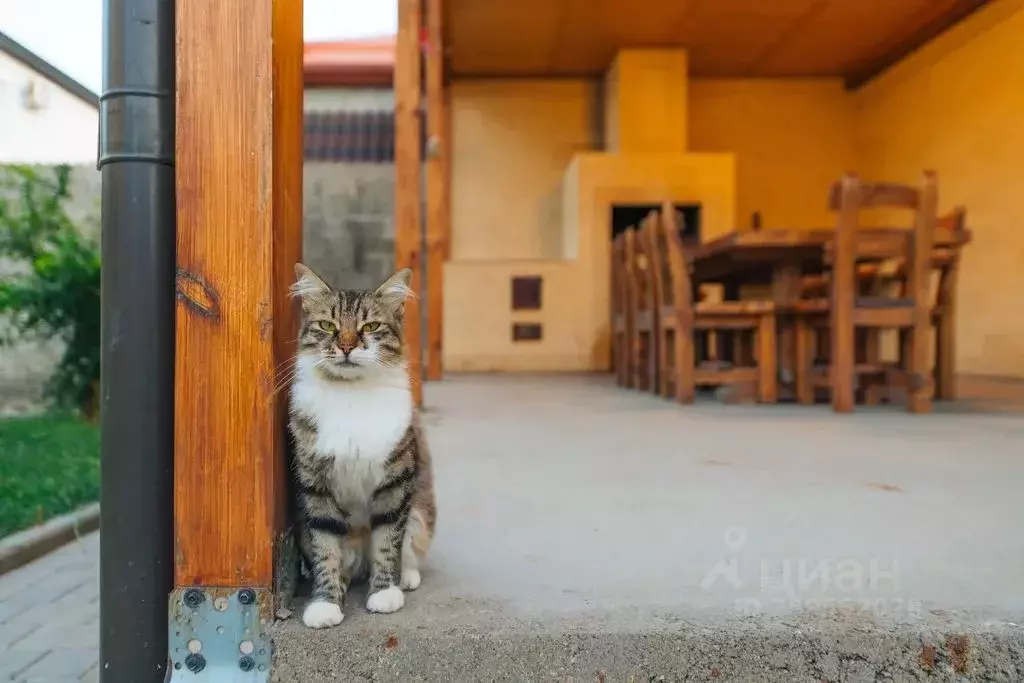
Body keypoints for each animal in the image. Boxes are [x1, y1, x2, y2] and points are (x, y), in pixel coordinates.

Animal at [286, 264, 438, 630]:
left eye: (370, 327)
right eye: (328, 325)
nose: (346, 347)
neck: (351, 393)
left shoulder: (396, 482)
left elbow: (387, 543)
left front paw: (384, 594)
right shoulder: (315, 489)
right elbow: (326, 549)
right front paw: (325, 605)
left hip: (420, 511)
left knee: (408, 550)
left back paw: (406, 578)